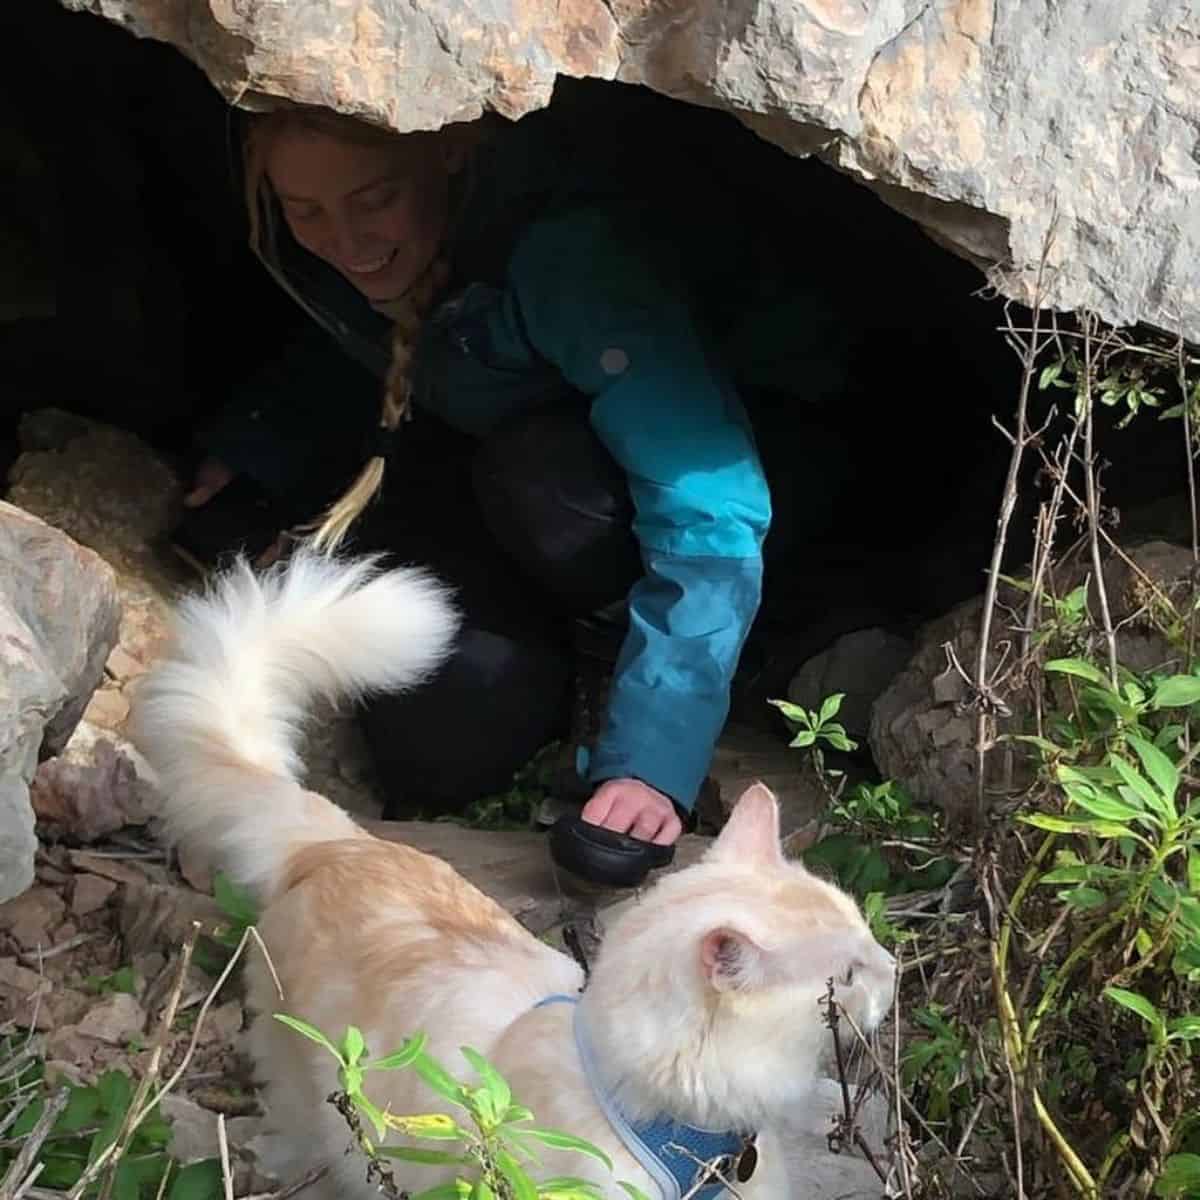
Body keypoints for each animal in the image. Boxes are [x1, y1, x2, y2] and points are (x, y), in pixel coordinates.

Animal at [131, 552, 897, 1200]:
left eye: (867, 938)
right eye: (849, 975)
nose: (893, 970)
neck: (681, 1133)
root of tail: (340, 840)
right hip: (309, 1106)